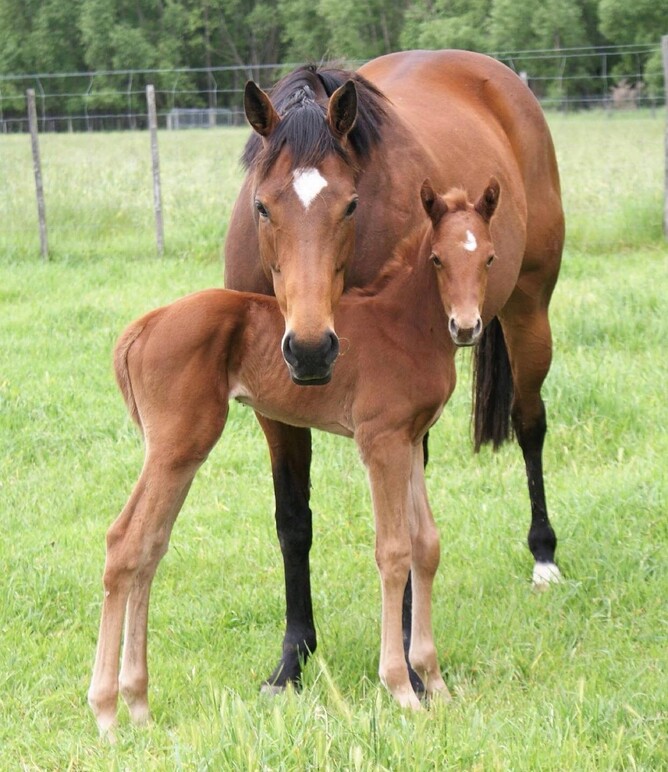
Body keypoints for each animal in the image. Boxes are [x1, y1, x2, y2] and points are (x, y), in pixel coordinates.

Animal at [88, 180, 501, 736]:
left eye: (489, 258)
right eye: (437, 258)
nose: (466, 326)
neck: (404, 325)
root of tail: (142, 327)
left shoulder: (412, 441)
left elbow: (426, 546)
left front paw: (434, 682)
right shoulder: (381, 442)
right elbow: (393, 553)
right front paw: (400, 688)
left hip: (178, 452)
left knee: (149, 546)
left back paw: (137, 704)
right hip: (177, 445)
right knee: (125, 542)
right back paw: (107, 712)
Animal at [223, 50, 565, 692]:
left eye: (351, 204)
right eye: (262, 204)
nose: (311, 350)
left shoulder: (398, 408)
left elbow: (404, 528)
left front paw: (409, 660)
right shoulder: (276, 412)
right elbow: (293, 521)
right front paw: (293, 658)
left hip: (530, 312)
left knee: (530, 424)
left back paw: (544, 558)